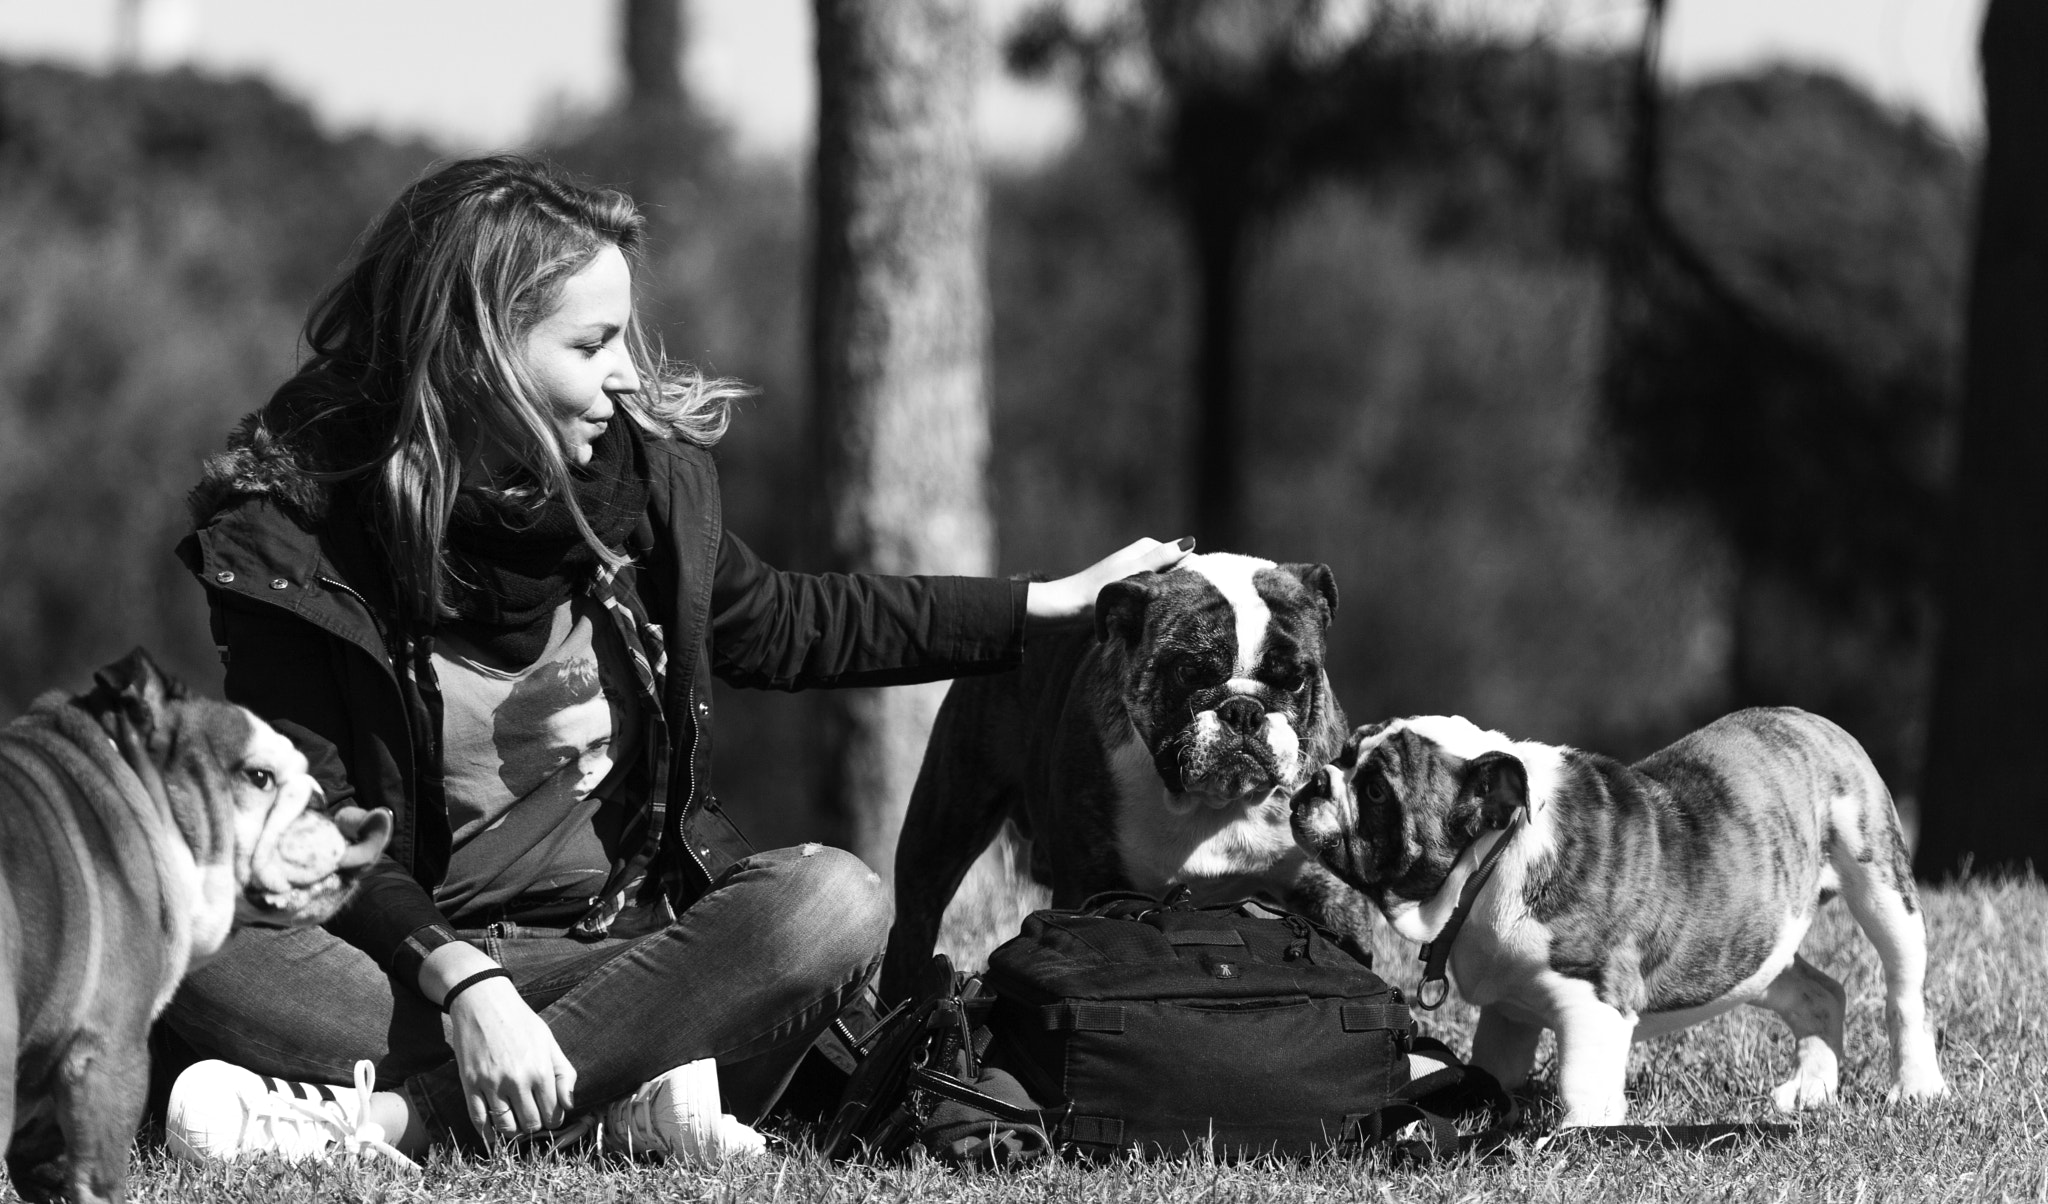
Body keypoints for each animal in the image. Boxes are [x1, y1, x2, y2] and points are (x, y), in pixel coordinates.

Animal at [880, 548, 1359, 1003]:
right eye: (1188, 672)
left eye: (1295, 679)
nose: (1244, 710)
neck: (1212, 802)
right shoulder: (1089, 885)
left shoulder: (1333, 898)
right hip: (947, 826)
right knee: (913, 924)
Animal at [1286, 704, 1941, 1130]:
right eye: (1343, 755)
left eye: (1376, 792)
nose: (1316, 778)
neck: (1491, 859)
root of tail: (1812, 720)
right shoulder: (1507, 1012)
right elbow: (1493, 1068)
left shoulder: (1593, 1002)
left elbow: (1581, 1083)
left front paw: (1580, 1137)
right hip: (1753, 950)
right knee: (1818, 993)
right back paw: (1811, 1090)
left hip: (1882, 886)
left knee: (1904, 993)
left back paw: (1916, 1089)